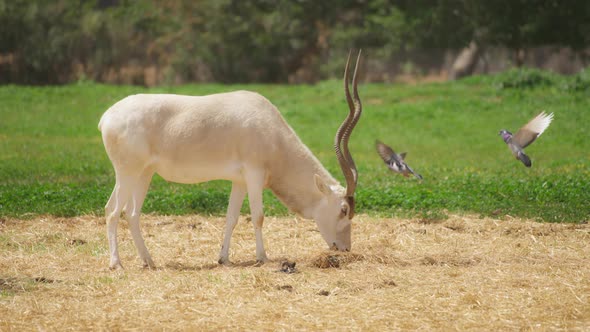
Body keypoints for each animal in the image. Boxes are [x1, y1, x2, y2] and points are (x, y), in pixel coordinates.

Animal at [99, 52, 364, 270]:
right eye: (343, 210)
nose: (345, 248)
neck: (273, 132)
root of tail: (106, 117)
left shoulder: (240, 181)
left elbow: (232, 217)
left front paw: (223, 258)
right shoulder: (255, 174)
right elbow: (258, 216)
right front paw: (262, 257)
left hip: (143, 173)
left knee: (131, 213)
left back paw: (149, 261)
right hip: (127, 172)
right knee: (113, 211)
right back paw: (116, 264)